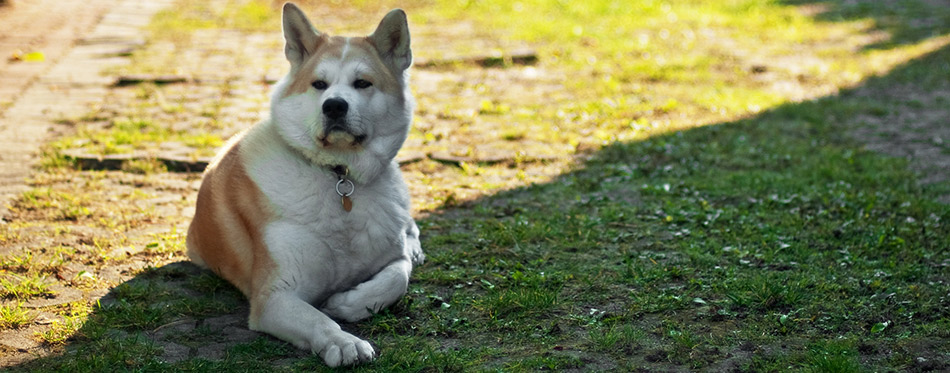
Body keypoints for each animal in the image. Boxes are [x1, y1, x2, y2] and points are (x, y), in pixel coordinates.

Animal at [186, 2, 424, 366]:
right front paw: (343, 342)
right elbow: (317, 319)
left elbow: (397, 277)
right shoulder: (275, 296)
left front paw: (349, 303)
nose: (334, 106)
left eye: (363, 83)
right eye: (319, 84)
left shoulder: (389, 257)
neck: (338, 175)